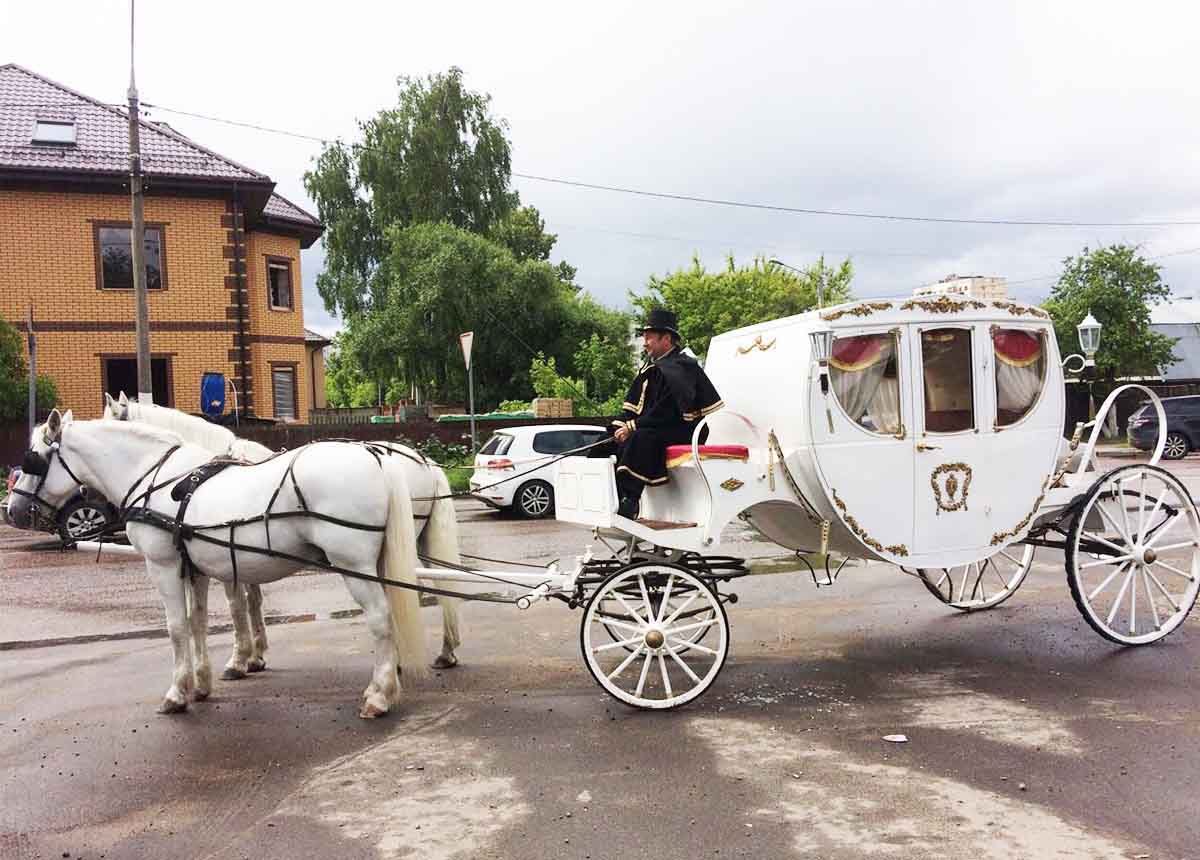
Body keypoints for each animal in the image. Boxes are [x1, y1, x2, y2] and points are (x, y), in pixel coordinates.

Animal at [9, 412, 429, 714]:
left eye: (33, 459)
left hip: (352, 563)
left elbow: (177, 627)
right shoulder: (194, 569)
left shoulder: (163, 565)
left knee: (380, 618)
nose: (13, 510)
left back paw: (379, 695)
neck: (156, 479)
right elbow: (198, 623)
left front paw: (177, 693)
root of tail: (376, 456)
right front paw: (202, 683)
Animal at [102, 391, 463, 676]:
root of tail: (422, 460)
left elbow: (238, 605)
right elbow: (253, 600)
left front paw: (240, 659)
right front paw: (255, 655)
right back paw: (441, 652)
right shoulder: (240, 555)